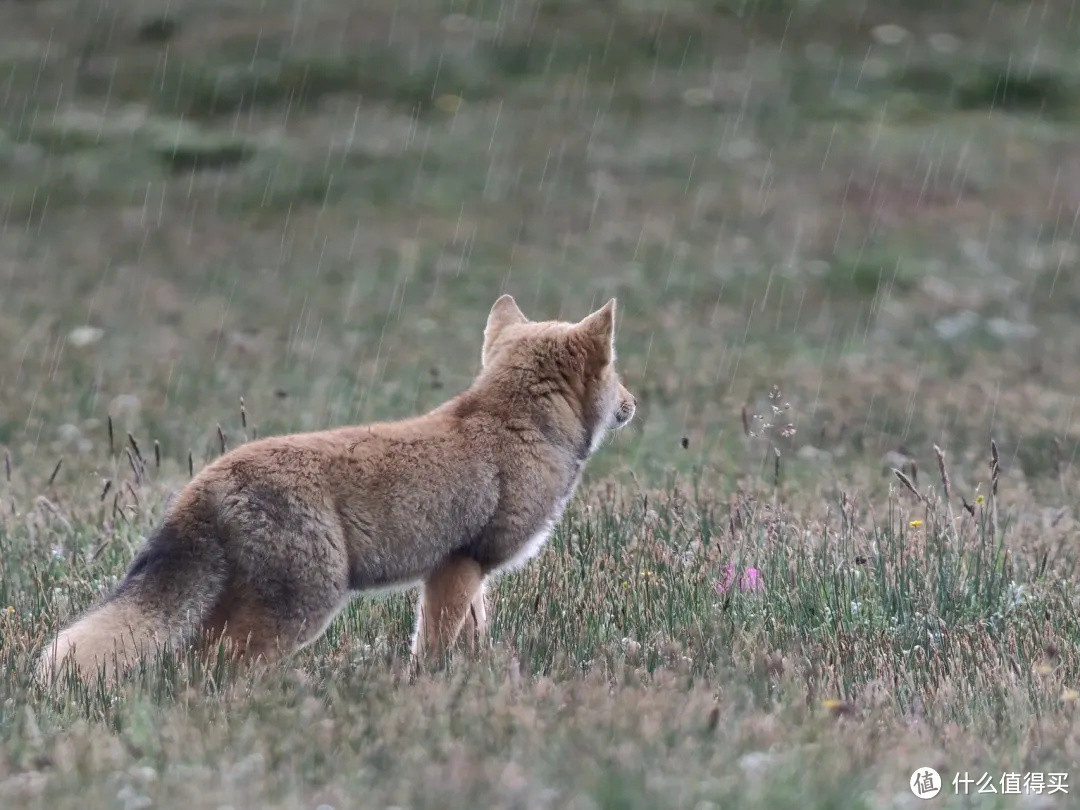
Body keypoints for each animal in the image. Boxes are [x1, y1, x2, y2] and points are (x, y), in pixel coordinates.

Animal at [38, 293, 635, 686]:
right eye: (616, 373)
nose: (634, 403)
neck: (516, 425)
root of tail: (206, 480)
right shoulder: (459, 565)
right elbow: (434, 648)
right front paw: (431, 691)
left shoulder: (461, 573)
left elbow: (472, 638)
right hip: (304, 606)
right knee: (216, 665)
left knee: (190, 662)